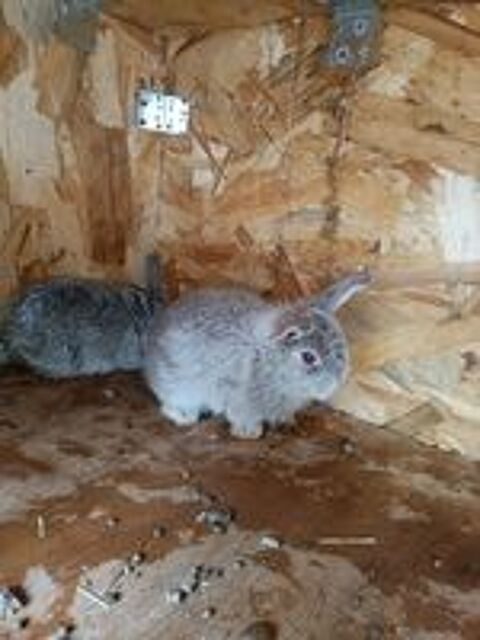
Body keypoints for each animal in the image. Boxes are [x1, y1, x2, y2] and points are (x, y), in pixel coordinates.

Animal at [144, 268, 371, 438]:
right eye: (308, 357)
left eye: (342, 350)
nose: (334, 386)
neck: (268, 360)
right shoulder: (237, 394)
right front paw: (249, 432)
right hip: (180, 387)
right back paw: (184, 416)